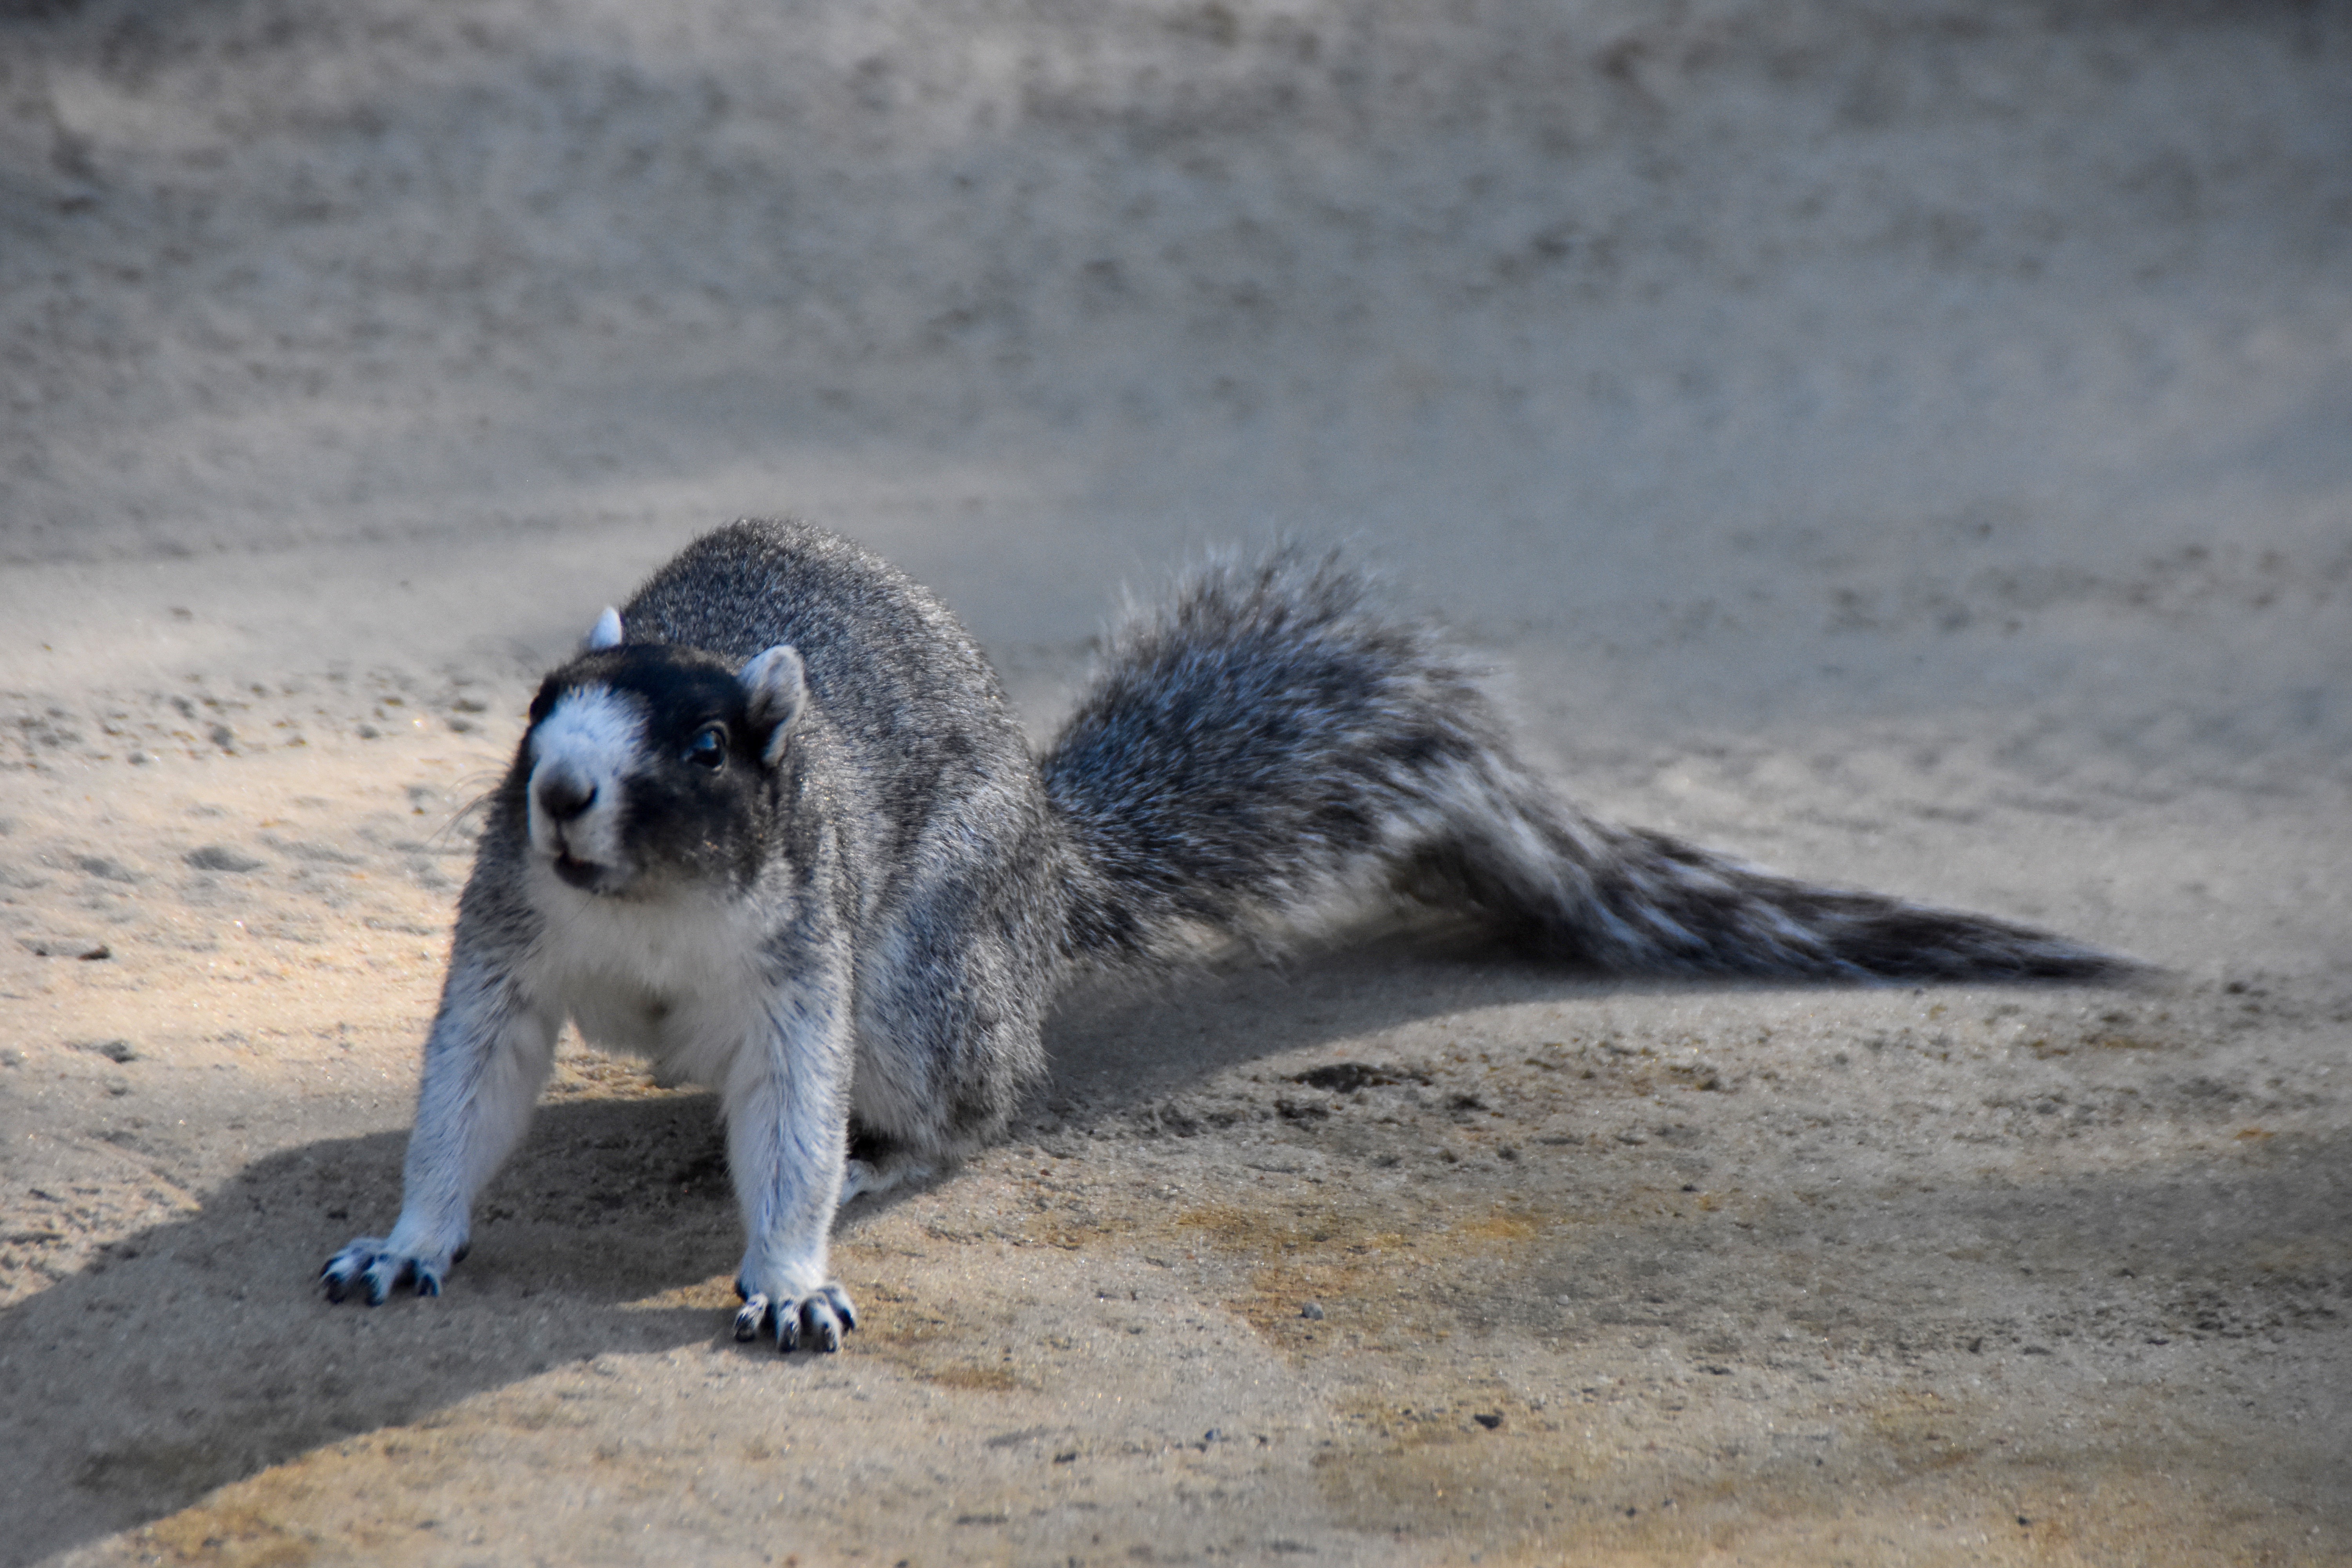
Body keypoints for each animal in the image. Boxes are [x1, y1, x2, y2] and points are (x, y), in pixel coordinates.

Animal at [318, 517, 2136, 1354]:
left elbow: (788, 1134)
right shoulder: (506, 943)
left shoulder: (802, 978)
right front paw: (405, 1241)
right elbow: (465, 1093)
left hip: (925, 978)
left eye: (704, 747)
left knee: (976, 1099)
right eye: (537, 705)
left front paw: (791, 1273)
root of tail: (1051, 865)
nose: (561, 792)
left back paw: (893, 1155)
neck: (649, 915)